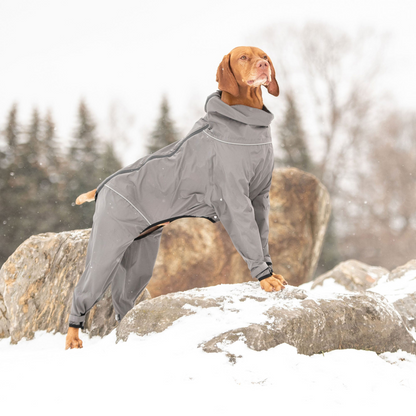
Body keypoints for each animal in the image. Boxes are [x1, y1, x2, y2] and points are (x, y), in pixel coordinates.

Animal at [66, 46, 286, 352]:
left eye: (264, 55)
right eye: (243, 57)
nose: (264, 65)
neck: (245, 121)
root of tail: (101, 187)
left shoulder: (260, 197)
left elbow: (263, 238)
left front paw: (271, 272)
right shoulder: (234, 199)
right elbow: (250, 239)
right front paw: (265, 279)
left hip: (141, 251)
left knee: (124, 298)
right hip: (107, 246)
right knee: (83, 289)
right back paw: (73, 337)